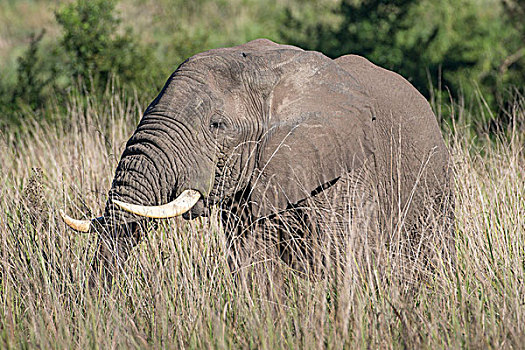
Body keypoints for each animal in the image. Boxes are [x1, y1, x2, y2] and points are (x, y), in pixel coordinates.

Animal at [61, 37, 454, 282]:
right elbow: (254, 265)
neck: (264, 69)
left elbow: (346, 256)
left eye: (216, 124)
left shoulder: (347, 169)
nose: (94, 306)